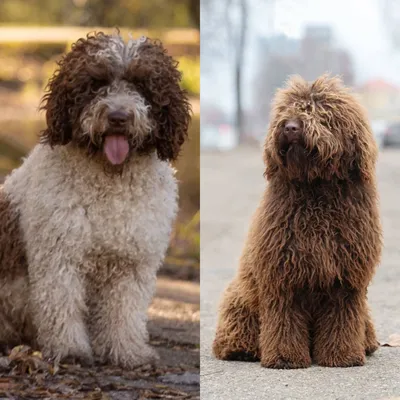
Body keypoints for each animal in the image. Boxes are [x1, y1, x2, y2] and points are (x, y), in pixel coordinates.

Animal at [0, 32, 191, 370]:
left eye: (141, 84)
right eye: (96, 83)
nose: (118, 117)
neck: (111, 179)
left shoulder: (133, 262)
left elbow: (124, 312)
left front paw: (127, 351)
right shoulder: (59, 257)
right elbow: (62, 307)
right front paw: (70, 349)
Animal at [214, 74, 382, 368]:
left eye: (321, 112)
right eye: (286, 109)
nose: (290, 127)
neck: (317, 192)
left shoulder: (346, 280)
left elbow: (342, 319)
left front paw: (342, 355)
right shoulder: (282, 276)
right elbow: (284, 321)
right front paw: (285, 357)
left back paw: (367, 344)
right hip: (241, 300)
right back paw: (240, 350)